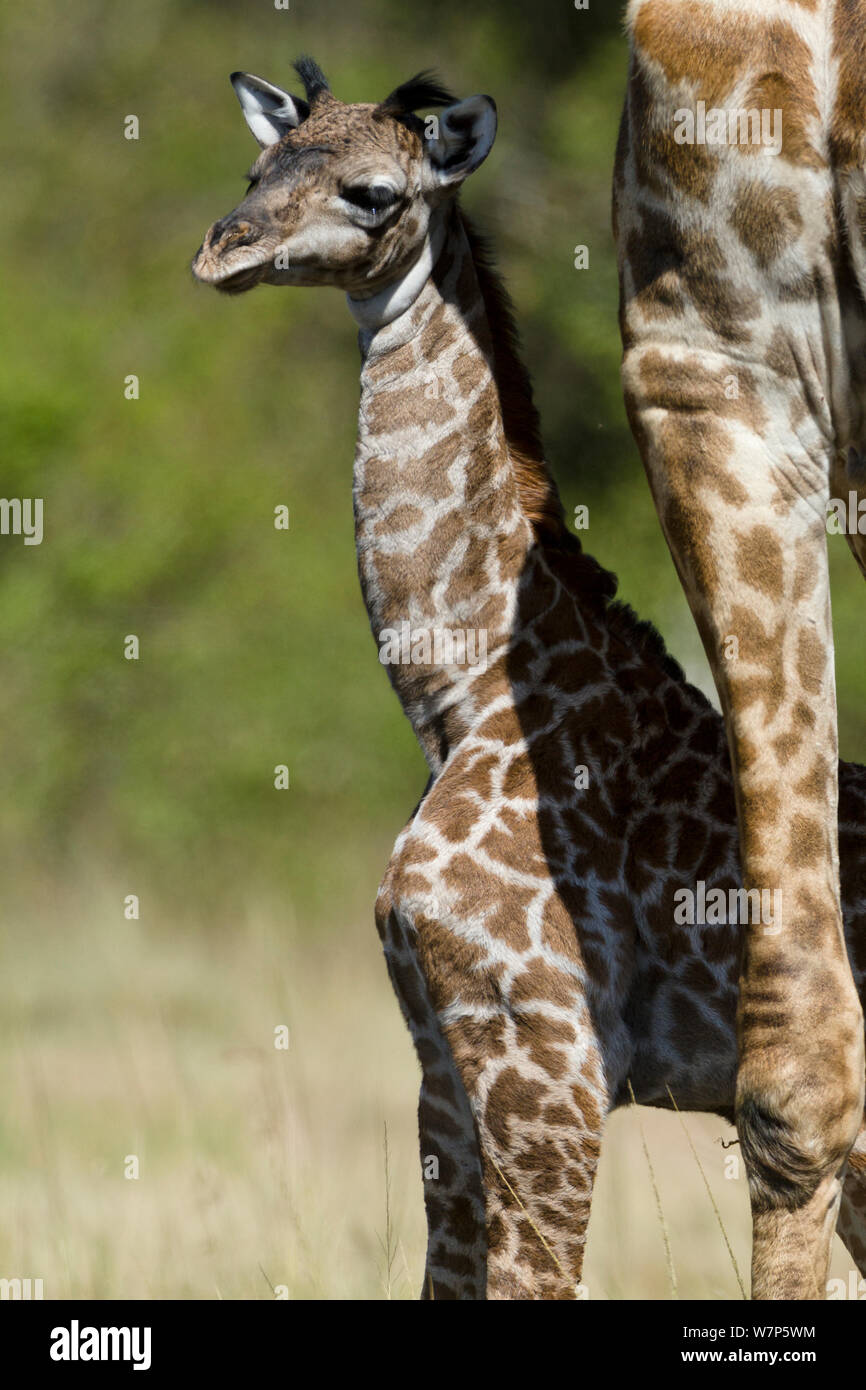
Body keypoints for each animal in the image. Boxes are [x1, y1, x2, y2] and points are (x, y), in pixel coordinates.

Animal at [191, 58, 866, 1299]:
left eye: (372, 192)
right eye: (261, 165)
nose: (224, 246)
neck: (457, 701)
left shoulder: (546, 1054)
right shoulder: (439, 1057)